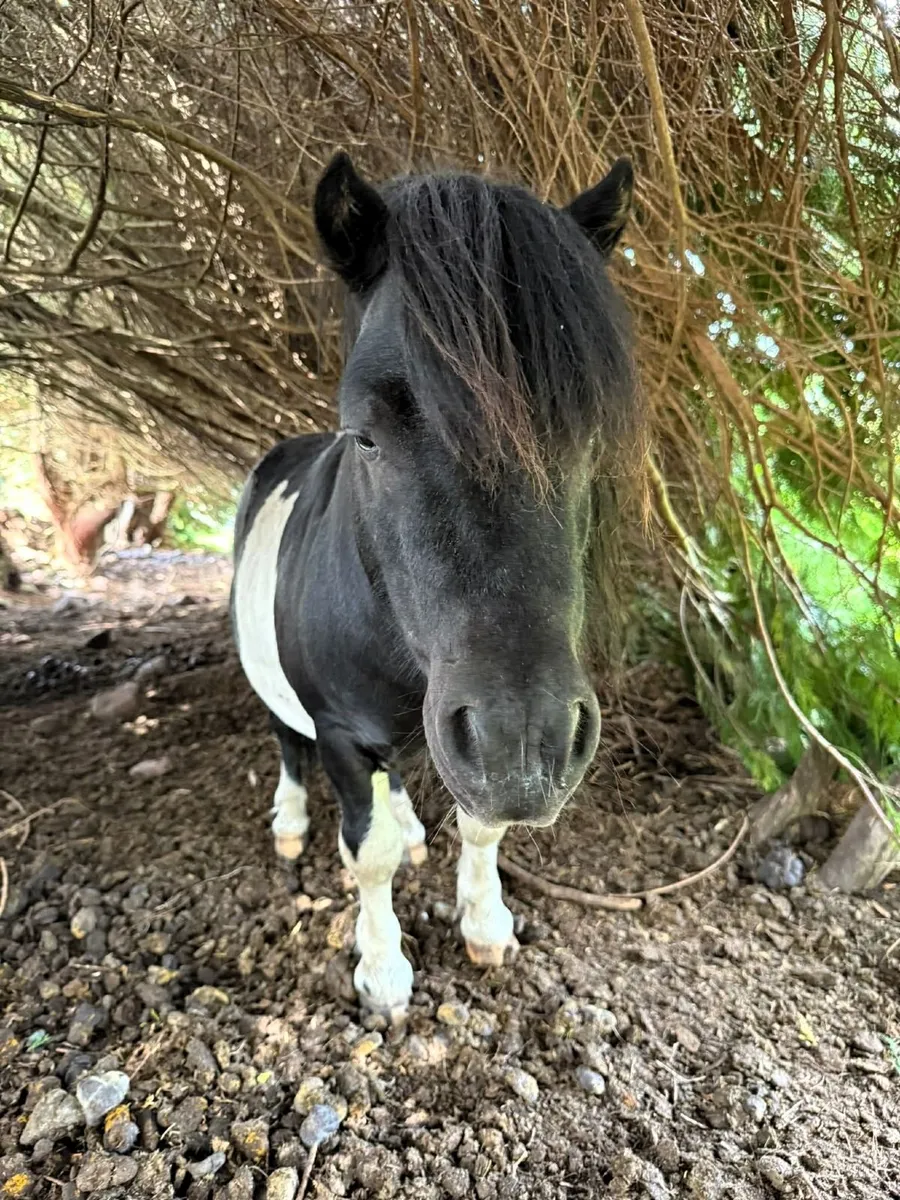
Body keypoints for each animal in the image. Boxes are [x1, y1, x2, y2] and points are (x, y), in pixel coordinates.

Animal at [231, 152, 640, 1019]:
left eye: (589, 431)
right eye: (364, 435)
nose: (526, 743)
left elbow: (478, 828)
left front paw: (485, 924)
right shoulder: (342, 733)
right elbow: (369, 853)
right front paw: (383, 970)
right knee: (287, 743)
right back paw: (290, 820)